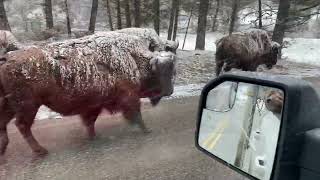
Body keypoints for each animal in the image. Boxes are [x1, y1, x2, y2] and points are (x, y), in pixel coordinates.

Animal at [0, 31, 176, 155]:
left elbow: (90, 122)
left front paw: (93, 138)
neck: (134, 58)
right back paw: (41, 151)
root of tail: (6, 59)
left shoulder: (93, 105)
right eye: (164, 72)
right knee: (22, 126)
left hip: (10, 105)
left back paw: (4, 149)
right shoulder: (129, 98)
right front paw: (147, 131)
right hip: (28, 106)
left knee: (5, 124)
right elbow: (137, 116)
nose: (170, 91)